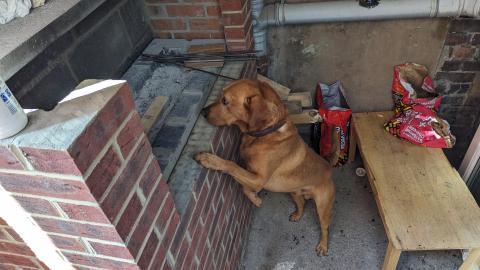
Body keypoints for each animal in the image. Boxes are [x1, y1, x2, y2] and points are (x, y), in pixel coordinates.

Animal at [193, 78, 336, 255]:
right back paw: (297, 215)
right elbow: (244, 187)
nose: (203, 111)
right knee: (302, 204)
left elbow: (231, 165)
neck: (266, 132)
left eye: (225, 101)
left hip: (323, 208)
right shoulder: (252, 175)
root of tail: (329, 169)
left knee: (325, 227)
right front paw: (255, 199)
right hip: (293, 192)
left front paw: (209, 159)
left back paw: (323, 245)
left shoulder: (259, 179)